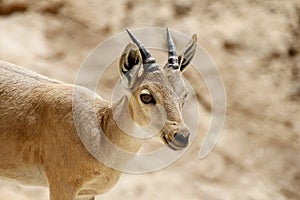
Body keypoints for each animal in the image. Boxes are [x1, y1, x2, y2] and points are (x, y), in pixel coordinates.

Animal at [0, 28, 197, 200]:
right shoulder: (62, 186)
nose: (181, 136)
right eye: (146, 96)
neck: (102, 128)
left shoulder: (85, 193)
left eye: (184, 94)